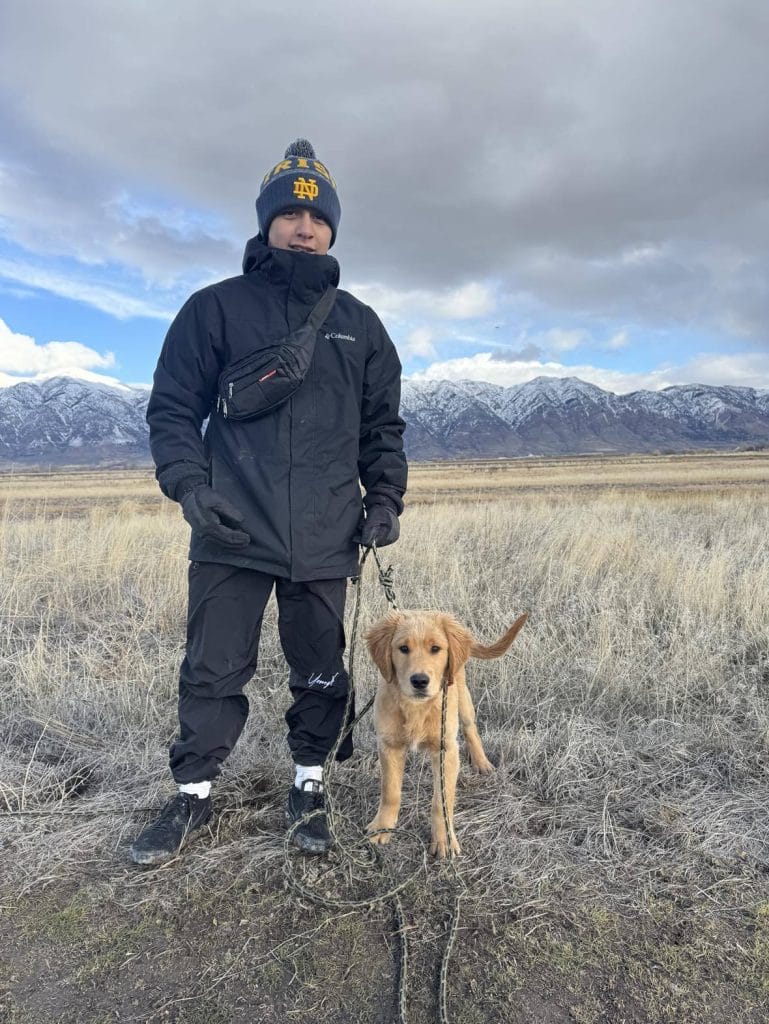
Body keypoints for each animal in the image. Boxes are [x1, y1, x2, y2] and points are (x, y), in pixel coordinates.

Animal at [364, 610, 528, 857]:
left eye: (435, 649)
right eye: (403, 648)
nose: (419, 681)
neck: (416, 707)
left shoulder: (447, 750)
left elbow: (441, 800)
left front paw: (444, 840)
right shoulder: (389, 745)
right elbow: (390, 791)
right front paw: (383, 827)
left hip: (461, 694)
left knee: (471, 728)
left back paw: (481, 762)